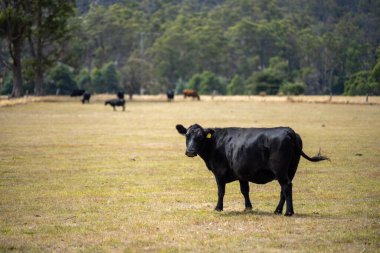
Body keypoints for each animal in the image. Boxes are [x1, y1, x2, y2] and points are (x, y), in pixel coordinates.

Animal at [177, 123, 328, 216]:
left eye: (200, 137)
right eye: (187, 135)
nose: (190, 151)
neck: (215, 143)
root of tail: (288, 130)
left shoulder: (219, 173)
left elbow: (221, 192)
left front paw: (218, 208)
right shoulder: (242, 174)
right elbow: (245, 190)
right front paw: (248, 207)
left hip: (280, 171)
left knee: (286, 186)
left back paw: (288, 212)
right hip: (291, 169)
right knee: (284, 190)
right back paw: (278, 210)